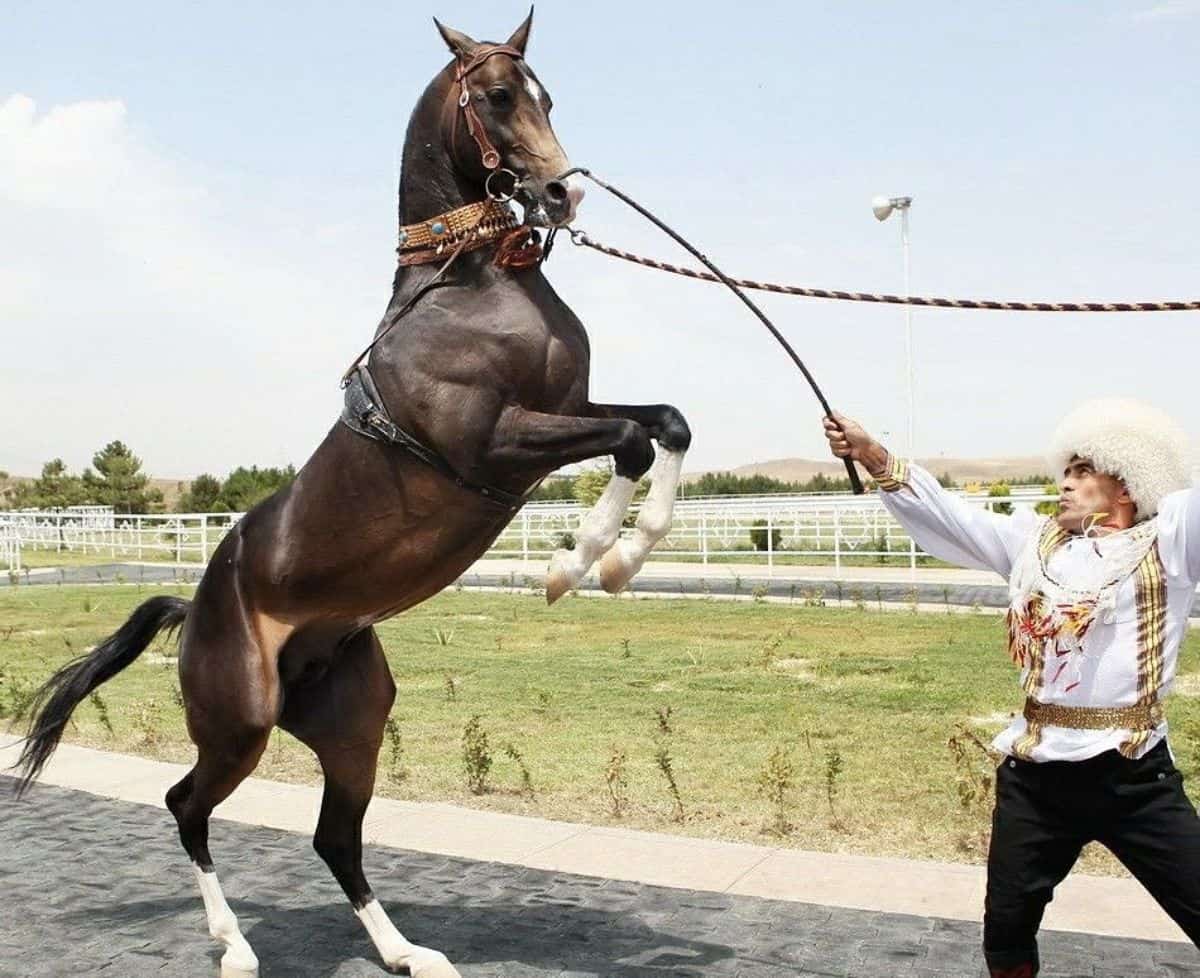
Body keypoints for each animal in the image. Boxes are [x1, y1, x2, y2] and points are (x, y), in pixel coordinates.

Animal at [11, 13, 696, 978]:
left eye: (549, 97)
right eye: (498, 97)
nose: (563, 194)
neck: (471, 285)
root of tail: (195, 602)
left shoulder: (564, 412)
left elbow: (667, 422)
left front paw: (625, 554)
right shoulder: (494, 444)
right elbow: (635, 439)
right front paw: (581, 562)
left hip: (353, 725)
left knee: (334, 838)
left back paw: (408, 952)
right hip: (240, 721)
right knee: (187, 805)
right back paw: (234, 947)